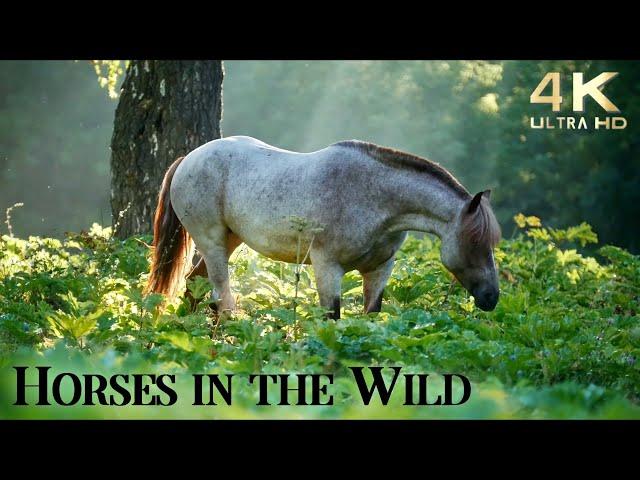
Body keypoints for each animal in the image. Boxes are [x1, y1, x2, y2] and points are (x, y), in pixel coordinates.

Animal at [145, 136, 500, 318]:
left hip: (230, 241)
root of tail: (188, 158)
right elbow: (332, 317)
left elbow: (370, 317)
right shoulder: (328, 268)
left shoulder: (379, 270)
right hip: (213, 242)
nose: (491, 297)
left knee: (196, 285)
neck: (374, 196)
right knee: (220, 297)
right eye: (475, 243)